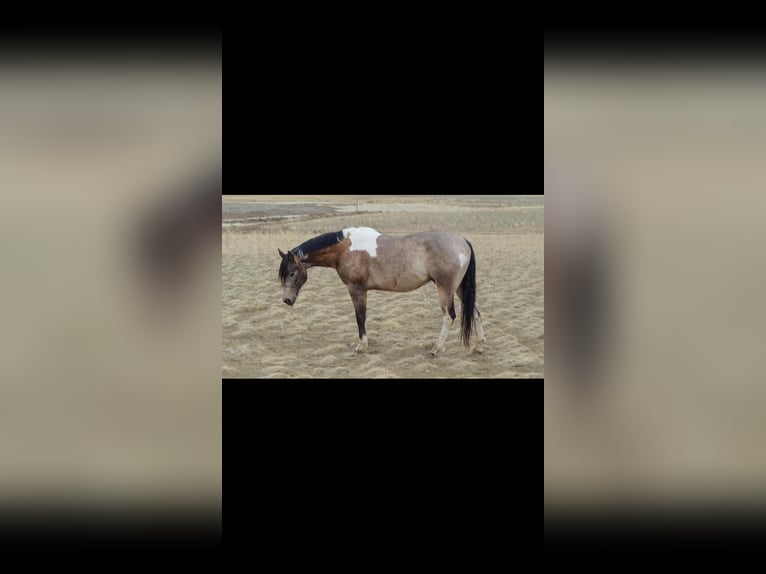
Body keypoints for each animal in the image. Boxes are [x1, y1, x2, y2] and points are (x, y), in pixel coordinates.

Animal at [280, 228, 488, 356]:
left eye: (291, 272)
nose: (287, 300)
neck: (345, 248)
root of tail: (462, 241)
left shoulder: (356, 289)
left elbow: (360, 317)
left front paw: (361, 346)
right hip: (461, 288)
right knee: (476, 313)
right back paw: (478, 346)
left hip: (445, 289)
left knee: (448, 316)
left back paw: (436, 349)